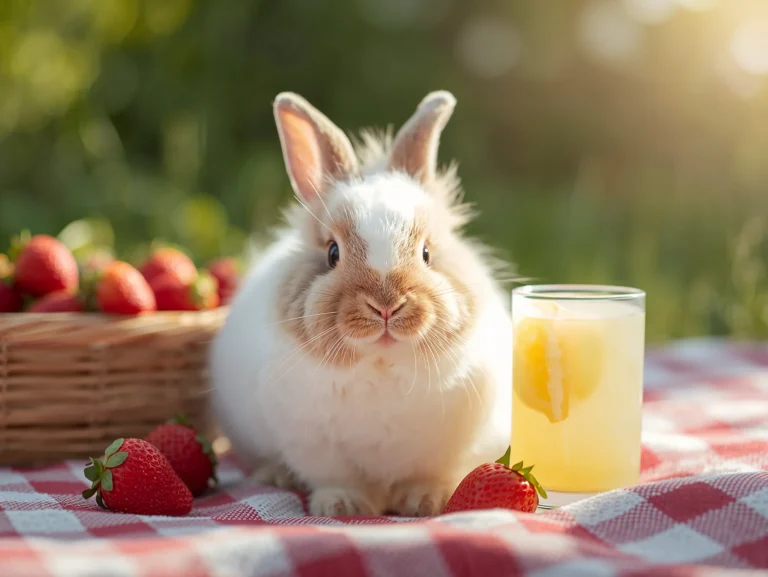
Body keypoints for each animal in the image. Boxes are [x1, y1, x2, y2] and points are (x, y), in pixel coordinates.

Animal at [209, 90, 513, 517]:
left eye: (426, 253)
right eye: (332, 253)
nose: (386, 305)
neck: (382, 363)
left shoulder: (448, 450)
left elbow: (429, 475)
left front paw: (424, 502)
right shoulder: (315, 446)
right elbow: (336, 477)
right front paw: (341, 507)